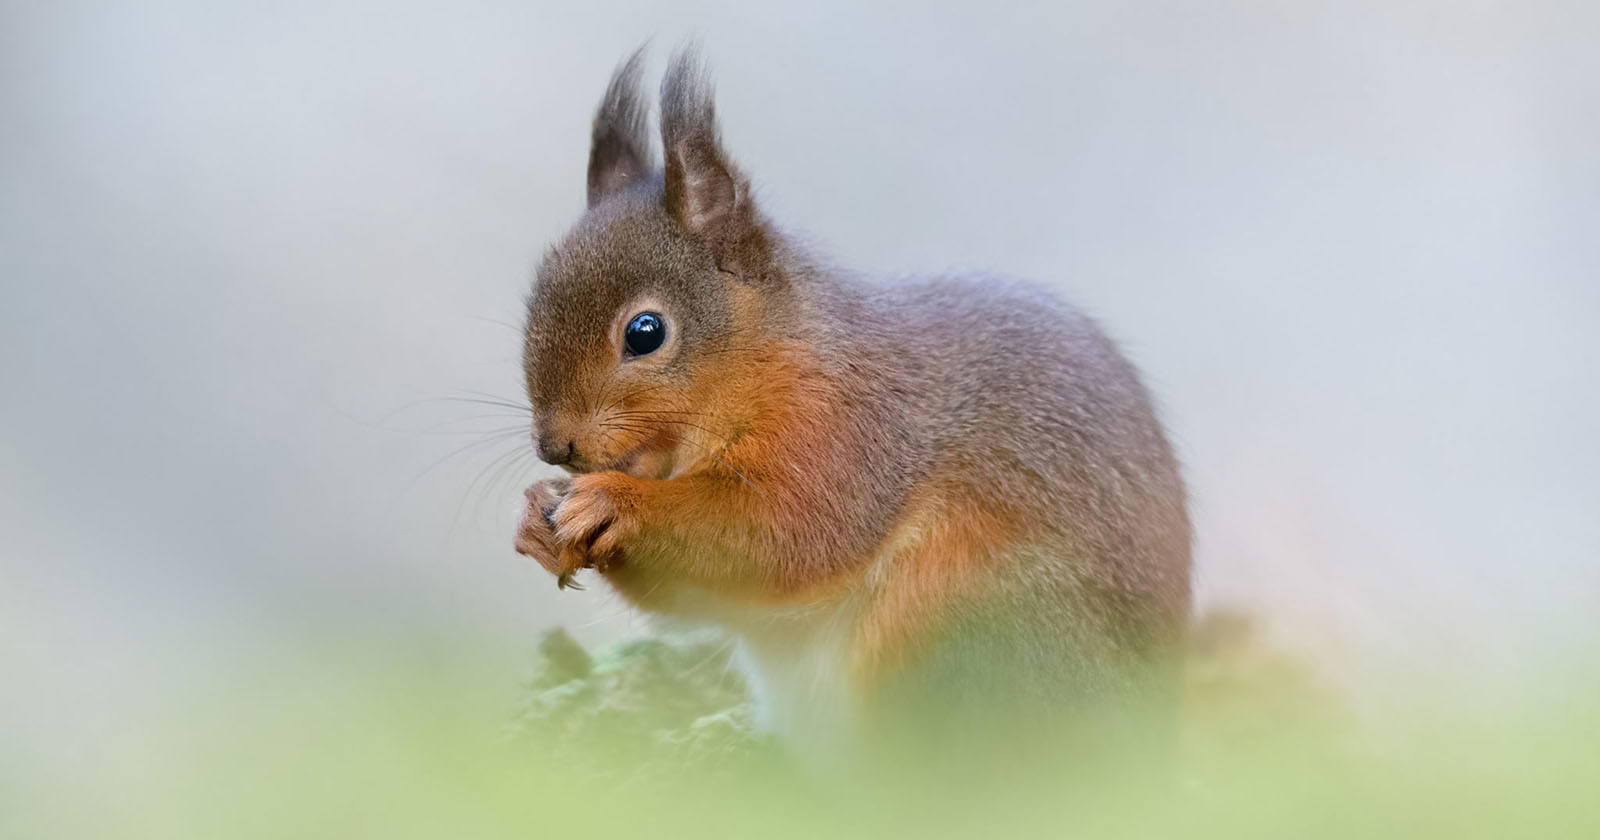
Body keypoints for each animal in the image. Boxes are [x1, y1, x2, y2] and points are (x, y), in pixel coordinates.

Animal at [512, 47, 1190, 752]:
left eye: (645, 332)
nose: (554, 446)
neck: (766, 365)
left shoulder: (850, 434)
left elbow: (783, 533)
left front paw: (614, 504)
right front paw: (537, 514)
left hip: (969, 620)